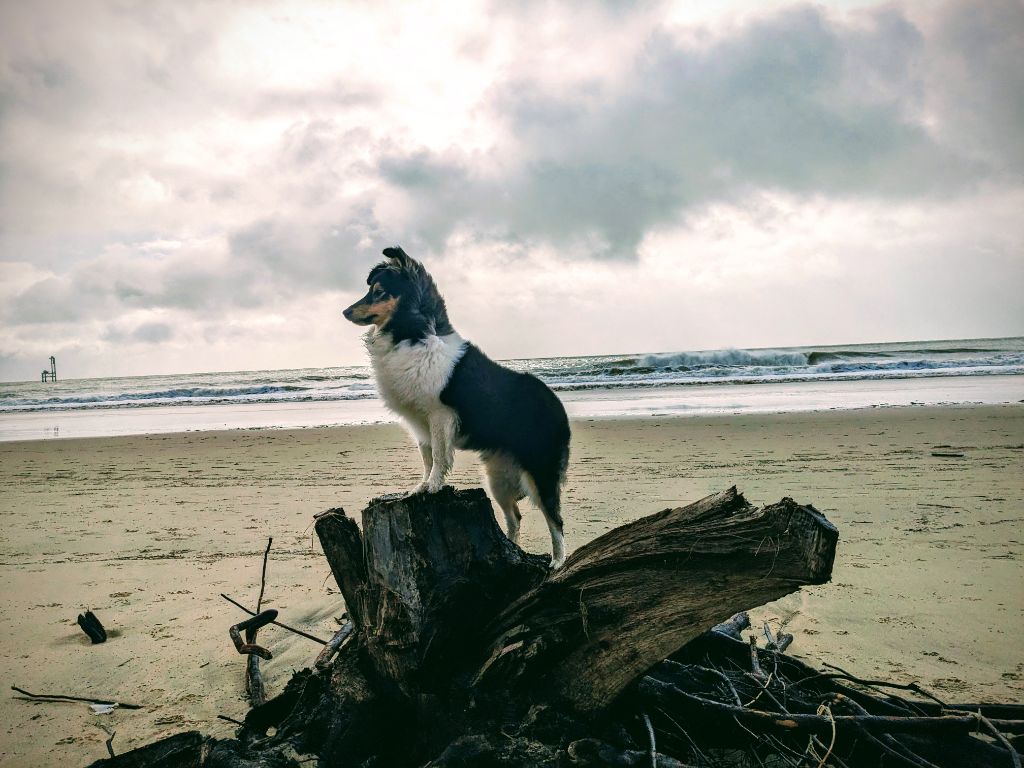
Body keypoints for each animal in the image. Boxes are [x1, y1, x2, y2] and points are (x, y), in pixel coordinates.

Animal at [342, 249, 569, 569]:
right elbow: (426, 457)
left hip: (540, 470)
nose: (345, 312)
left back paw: (558, 561)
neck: (410, 332)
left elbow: (438, 455)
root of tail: (556, 403)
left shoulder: (439, 415)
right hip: (497, 478)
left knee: (555, 519)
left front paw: (434, 486)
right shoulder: (420, 423)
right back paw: (513, 550)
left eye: (379, 292)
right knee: (514, 517)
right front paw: (421, 487)